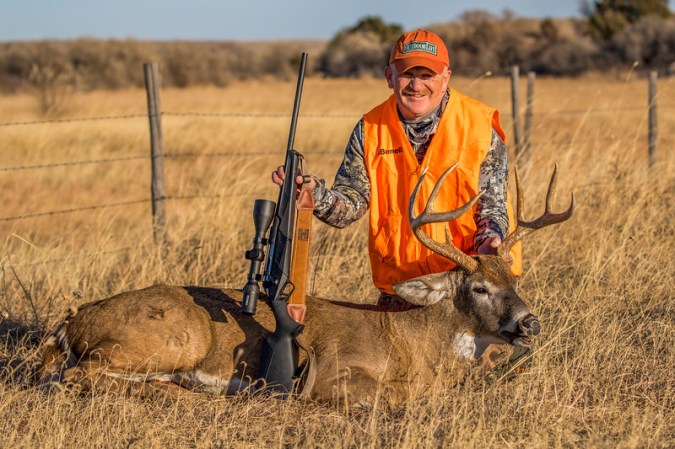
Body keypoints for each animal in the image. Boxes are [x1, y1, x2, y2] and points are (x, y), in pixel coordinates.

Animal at [38, 164, 574, 406]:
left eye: (515, 278)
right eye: (479, 287)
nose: (530, 323)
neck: (414, 345)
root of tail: (71, 322)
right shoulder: (334, 372)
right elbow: (391, 396)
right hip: (173, 339)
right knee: (78, 374)